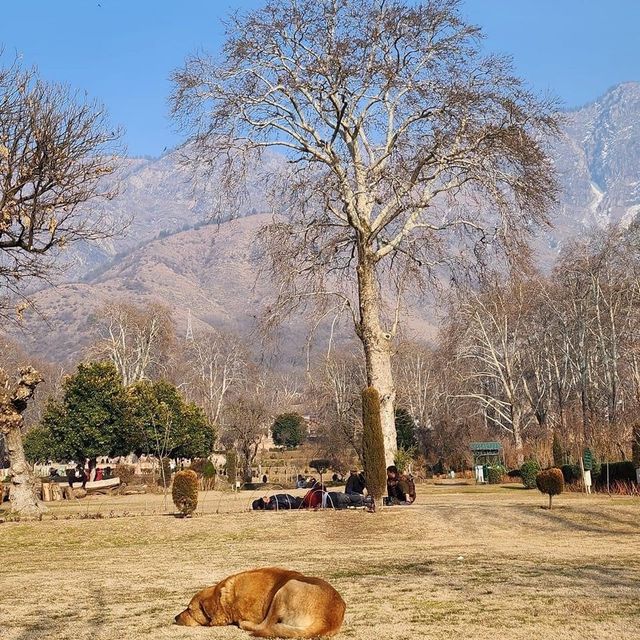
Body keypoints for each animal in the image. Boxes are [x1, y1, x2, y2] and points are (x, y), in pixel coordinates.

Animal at [175, 568, 344, 636]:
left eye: (189, 609)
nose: (175, 618)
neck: (225, 598)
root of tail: (328, 621)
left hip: (286, 588)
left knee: (266, 626)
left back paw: (243, 624)